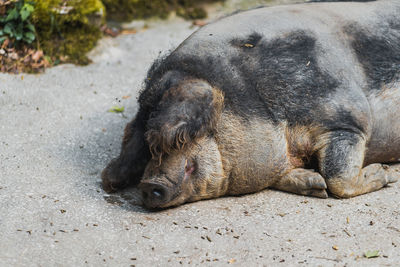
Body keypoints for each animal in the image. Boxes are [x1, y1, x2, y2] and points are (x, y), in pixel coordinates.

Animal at [101, 0, 400, 209]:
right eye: (145, 146)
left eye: (179, 138)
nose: (149, 184)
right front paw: (315, 184)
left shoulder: (346, 116)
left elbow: (338, 177)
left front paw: (385, 174)